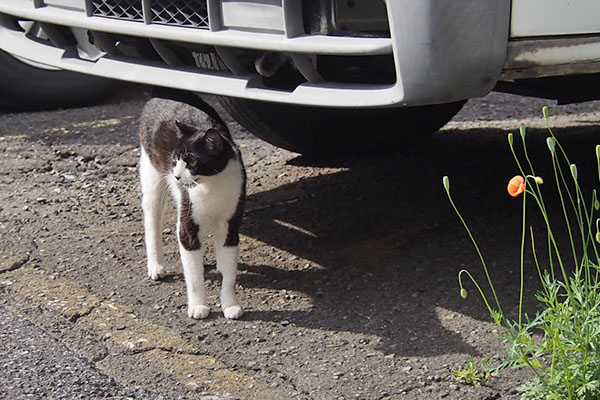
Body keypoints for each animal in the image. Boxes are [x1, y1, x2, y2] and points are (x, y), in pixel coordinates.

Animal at [138, 92, 246, 320]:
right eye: (175, 161)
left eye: (193, 163)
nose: (177, 176)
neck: (211, 186)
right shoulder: (187, 222)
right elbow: (194, 276)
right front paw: (198, 306)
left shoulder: (231, 222)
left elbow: (229, 271)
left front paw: (231, 305)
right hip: (151, 173)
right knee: (152, 220)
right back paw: (156, 265)